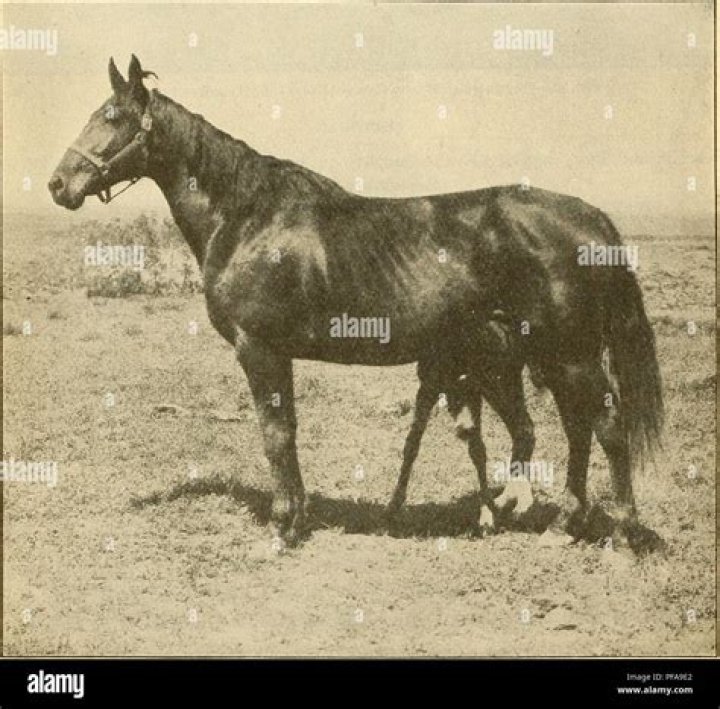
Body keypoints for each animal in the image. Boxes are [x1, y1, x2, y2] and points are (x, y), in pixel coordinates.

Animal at [49, 56, 663, 551]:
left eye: (113, 117)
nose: (58, 184)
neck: (248, 216)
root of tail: (594, 219)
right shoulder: (277, 354)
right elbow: (289, 432)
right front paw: (298, 519)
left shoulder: (258, 349)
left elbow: (275, 436)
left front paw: (281, 530)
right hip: (546, 355)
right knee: (578, 427)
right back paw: (565, 525)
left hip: (569, 354)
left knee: (607, 426)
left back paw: (621, 534)